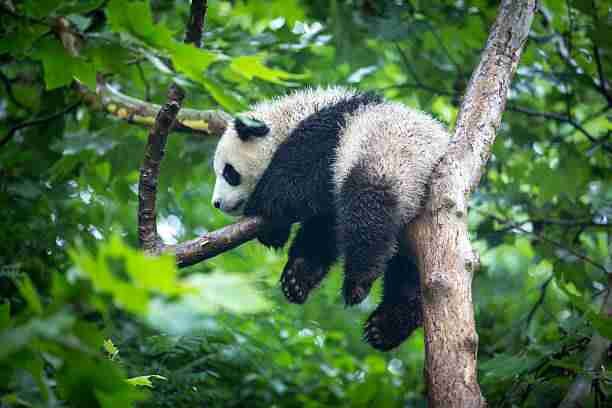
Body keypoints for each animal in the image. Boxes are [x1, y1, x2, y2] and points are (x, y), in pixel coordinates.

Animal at [210, 87, 450, 350]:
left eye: (229, 172)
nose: (217, 203)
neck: (290, 118)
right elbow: (323, 228)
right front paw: (297, 277)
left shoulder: (330, 135)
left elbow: (291, 184)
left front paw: (266, 220)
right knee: (407, 269)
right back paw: (389, 323)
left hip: (390, 162)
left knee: (368, 208)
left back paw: (359, 281)